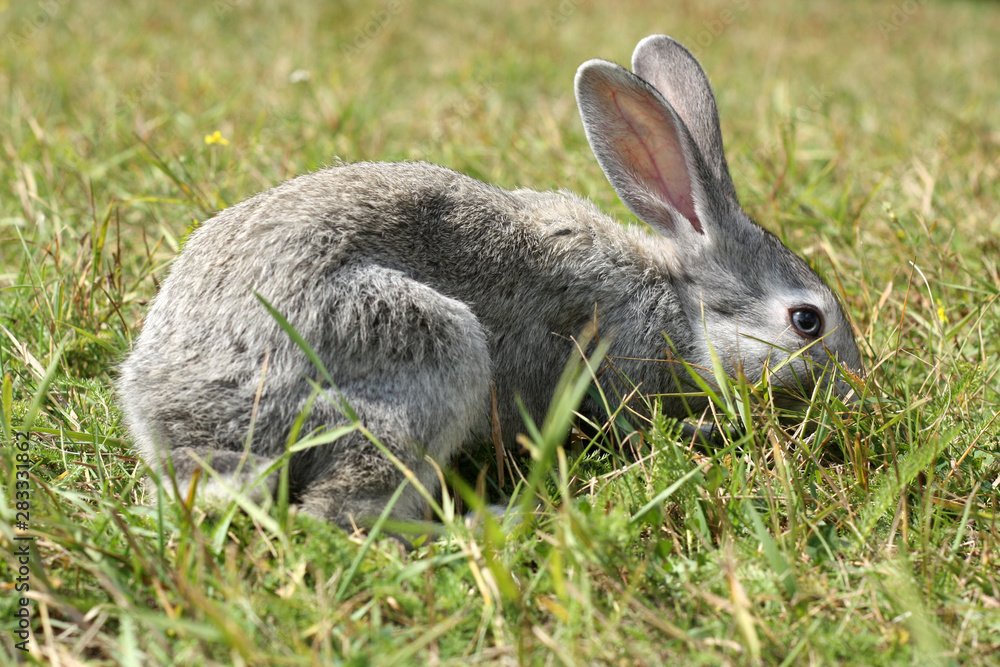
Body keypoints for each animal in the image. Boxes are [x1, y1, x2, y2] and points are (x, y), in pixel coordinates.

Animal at [118, 35, 862, 529]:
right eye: (808, 321)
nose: (856, 389)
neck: (676, 298)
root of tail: (192, 434)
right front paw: (704, 432)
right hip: (424, 351)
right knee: (341, 510)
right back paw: (490, 520)